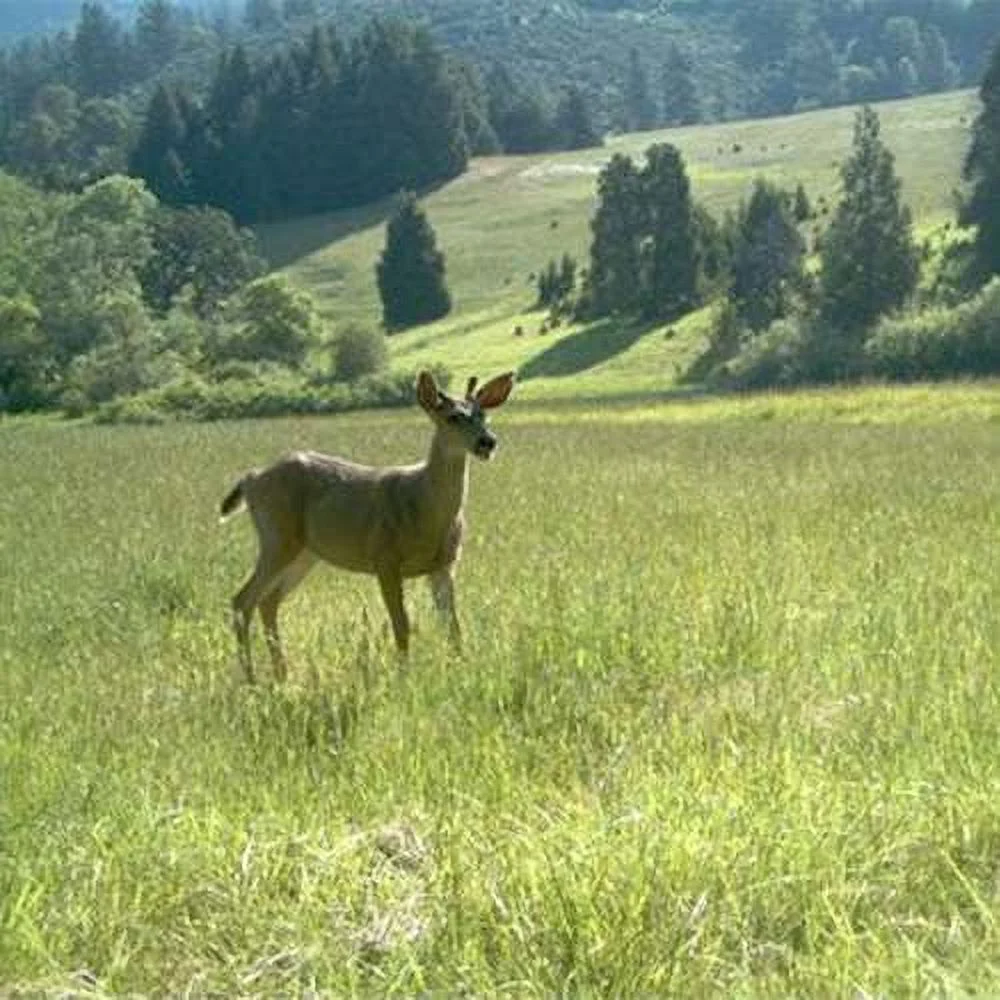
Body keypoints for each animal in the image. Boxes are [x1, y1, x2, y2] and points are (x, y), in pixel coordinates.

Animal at [218, 369, 515, 683]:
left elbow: (453, 626)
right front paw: (404, 676)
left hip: (305, 552)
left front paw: (462, 670)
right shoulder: (385, 558)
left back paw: (281, 674)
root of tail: (251, 479)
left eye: (483, 414)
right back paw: (252, 678)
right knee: (242, 600)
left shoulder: (444, 565)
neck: (424, 506)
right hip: (277, 536)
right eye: (453, 417)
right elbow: (401, 624)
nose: (487, 442)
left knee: (268, 601)